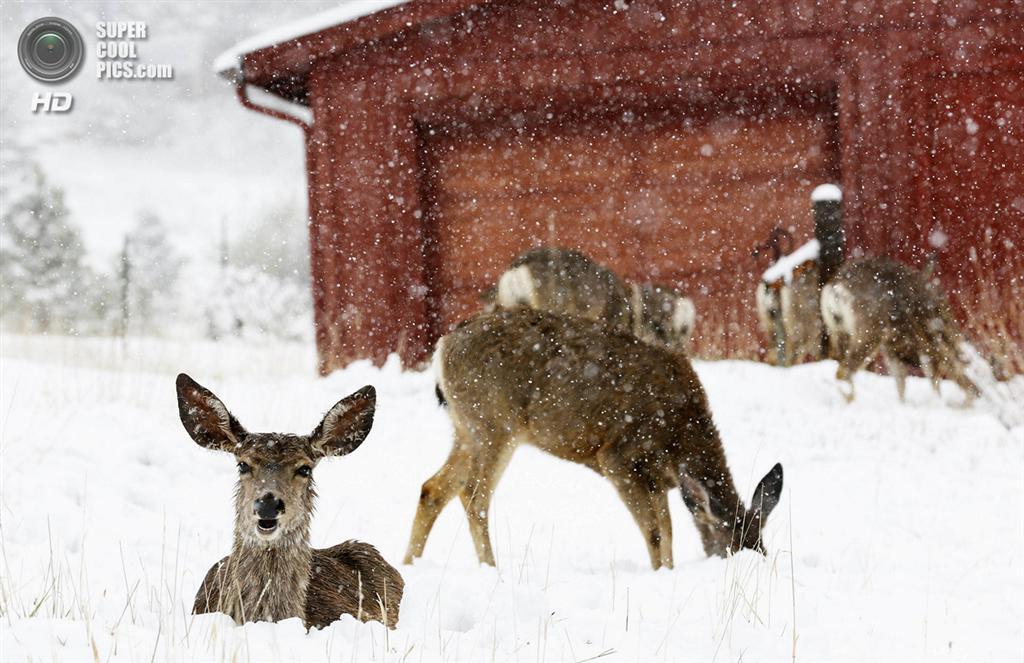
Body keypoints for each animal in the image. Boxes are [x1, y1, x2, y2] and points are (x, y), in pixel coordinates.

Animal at [401, 309, 782, 569]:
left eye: (761, 544)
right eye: (732, 547)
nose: (759, 568)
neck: (680, 434)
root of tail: (442, 347)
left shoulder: (656, 478)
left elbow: (668, 529)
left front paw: (669, 572)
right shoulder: (617, 457)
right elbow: (655, 532)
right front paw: (660, 573)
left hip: (466, 429)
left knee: (433, 487)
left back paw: (410, 564)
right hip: (494, 423)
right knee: (473, 494)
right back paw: (491, 569)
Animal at [819, 258, 978, 403]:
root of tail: (836, 288)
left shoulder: (893, 351)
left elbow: (901, 384)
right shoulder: (929, 347)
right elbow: (937, 381)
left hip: (839, 333)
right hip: (869, 334)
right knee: (844, 371)